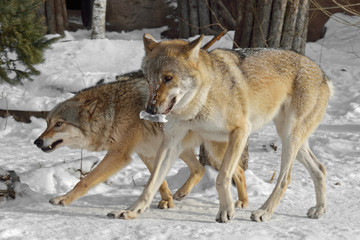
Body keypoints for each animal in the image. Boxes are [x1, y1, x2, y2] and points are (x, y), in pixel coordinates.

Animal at [33, 71, 249, 210]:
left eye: (59, 124)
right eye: (47, 123)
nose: (37, 142)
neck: (112, 113)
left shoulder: (119, 155)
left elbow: (85, 181)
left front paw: (64, 199)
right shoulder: (145, 152)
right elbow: (158, 180)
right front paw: (166, 201)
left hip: (213, 149)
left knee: (237, 171)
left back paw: (243, 202)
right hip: (178, 147)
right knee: (199, 169)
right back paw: (181, 193)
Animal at [109, 34, 332, 223]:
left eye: (168, 78)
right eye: (149, 80)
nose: (150, 110)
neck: (199, 102)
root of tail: (321, 72)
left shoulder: (241, 131)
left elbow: (222, 177)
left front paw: (225, 211)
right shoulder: (171, 142)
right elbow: (151, 183)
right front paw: (132, 211)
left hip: (287, 138)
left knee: (285, 178)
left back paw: (264, 212)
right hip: (285, 140)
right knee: (320, 168)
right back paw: (319, 209)